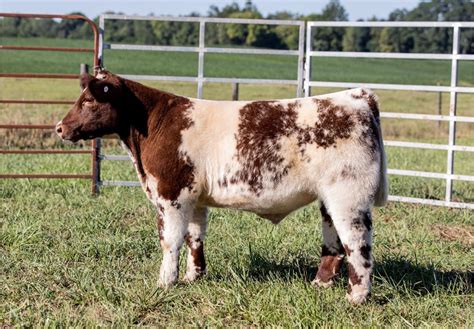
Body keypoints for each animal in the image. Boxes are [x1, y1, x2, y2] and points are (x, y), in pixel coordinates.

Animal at [57, 70, 386, 304]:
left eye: (89, 101)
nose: (60, 128)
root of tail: (356, 96)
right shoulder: (194, 198)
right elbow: (194, 237)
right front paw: (193, 276)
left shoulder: (171, 195)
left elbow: (170, 240)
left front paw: (165, 282)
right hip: (329, 199)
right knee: (333, 242)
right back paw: (320, 283)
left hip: (349, 197)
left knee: (357, 244)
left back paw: (356, 297)